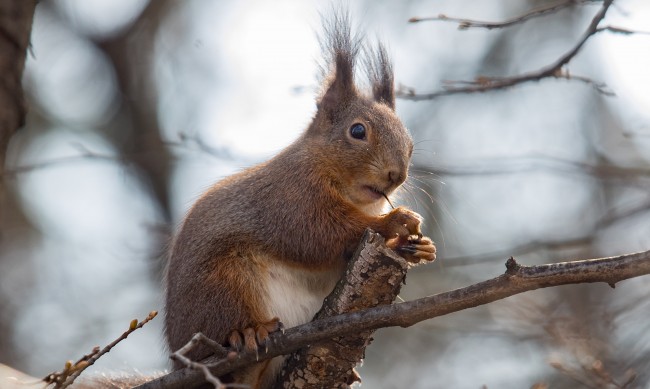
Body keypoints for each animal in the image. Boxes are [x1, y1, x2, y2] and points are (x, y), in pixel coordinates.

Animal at [162, 12, 436, 388]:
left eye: (409, 144)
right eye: (357, 131)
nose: (397, 175)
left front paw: (419, 248)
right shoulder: (291, 197)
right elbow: (318, 233)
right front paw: (392, 222)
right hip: (222, 284)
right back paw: (248, 336)